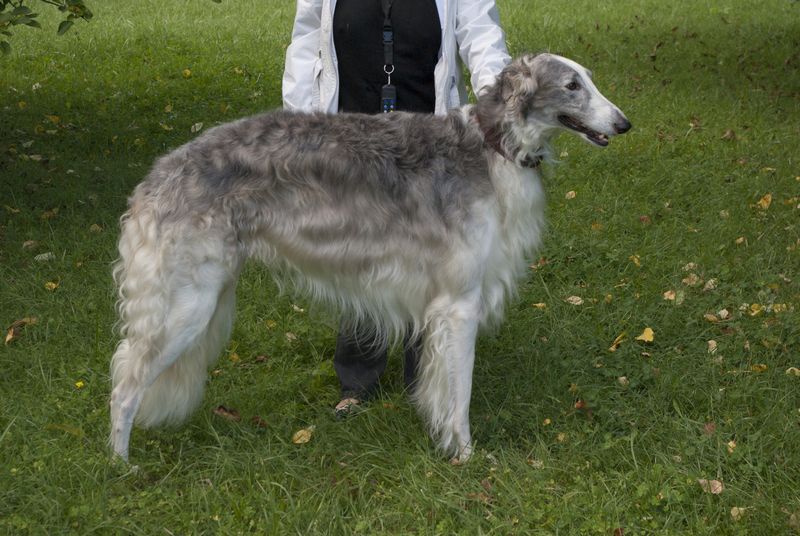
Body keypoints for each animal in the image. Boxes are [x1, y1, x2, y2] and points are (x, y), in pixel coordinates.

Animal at [109, 53, 630, 463]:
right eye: (572, 85)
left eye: (588, 78)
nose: (624, 123)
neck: (490, 146)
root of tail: (156, 177)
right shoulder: (459, 303)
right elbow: (459, 395)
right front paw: (464, 455)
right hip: (186, 307)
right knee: (125, 384)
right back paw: (120, 466)